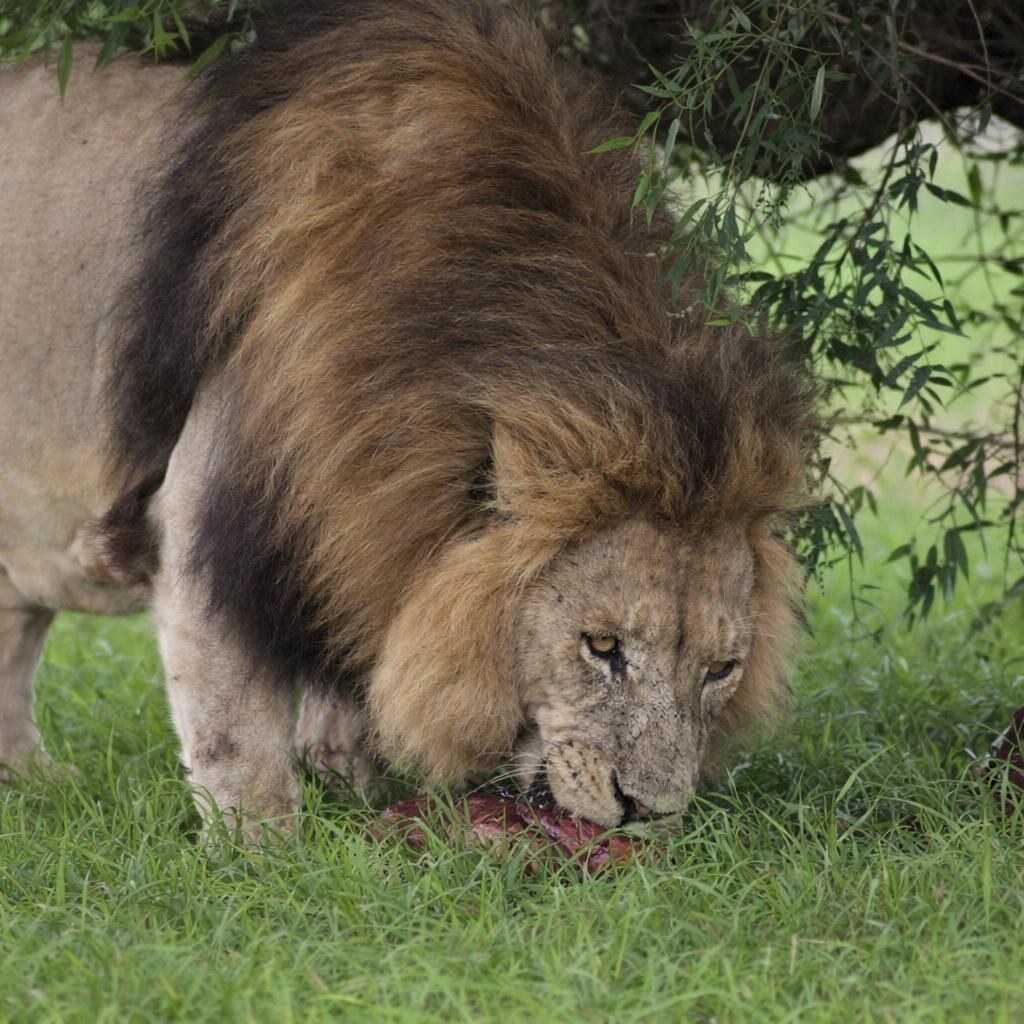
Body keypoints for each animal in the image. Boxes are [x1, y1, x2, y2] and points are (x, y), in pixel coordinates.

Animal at [0, 0, 817, 833]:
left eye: (721, 669)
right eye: (601, 646)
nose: (648, 812)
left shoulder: (362, 523)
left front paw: (351, 794)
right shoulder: (207, 515)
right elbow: (236, 728)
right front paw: (264, 848)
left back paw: (31, 783)